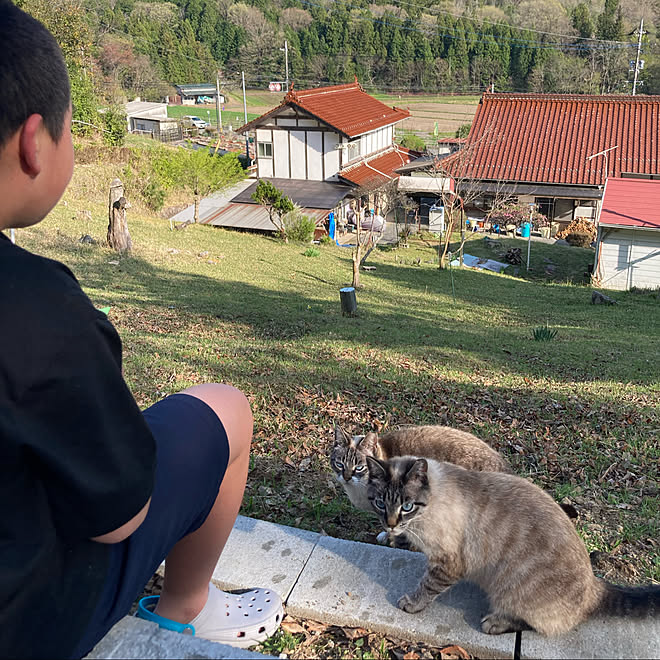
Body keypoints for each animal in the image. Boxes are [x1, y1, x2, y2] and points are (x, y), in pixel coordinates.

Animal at [364, 456, 656, 636]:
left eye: (407, 506)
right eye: (379, 503)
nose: (390, 523)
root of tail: (594, 585)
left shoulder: (447, 563)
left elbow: (427, 587)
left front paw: (411, 603)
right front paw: (389, 537)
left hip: (508, 591)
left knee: (540, 624)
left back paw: (494, 623)